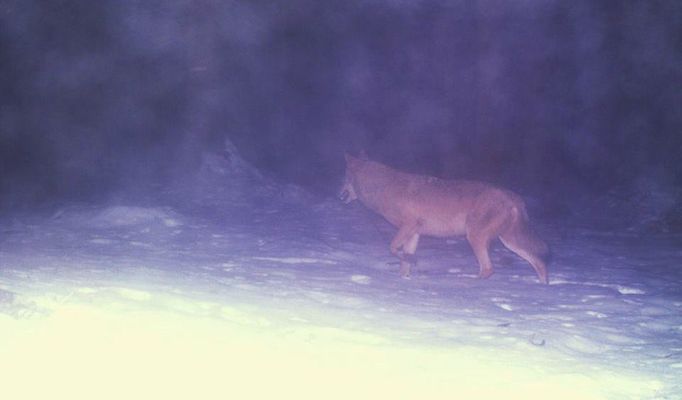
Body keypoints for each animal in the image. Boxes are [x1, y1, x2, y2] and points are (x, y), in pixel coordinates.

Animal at [338, 154, 548, 284]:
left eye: (345, 179)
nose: (339, 195)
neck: (382, 189)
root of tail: (514, 196)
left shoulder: (408, 226)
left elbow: (392, 249)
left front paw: (410, 262)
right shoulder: (414, 233)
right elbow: (403, 262)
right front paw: (404, 279)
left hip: (475, 237)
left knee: (488, 269)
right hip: (509, 242)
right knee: (539, 263)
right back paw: (543, 289)